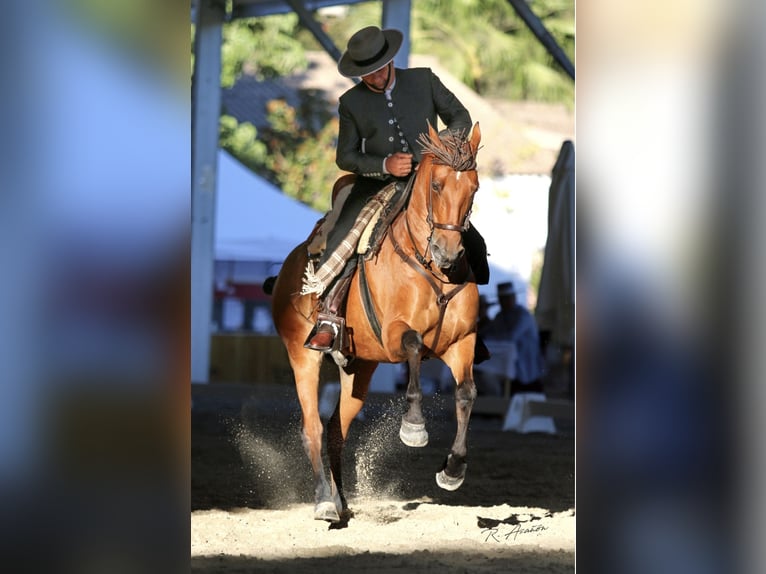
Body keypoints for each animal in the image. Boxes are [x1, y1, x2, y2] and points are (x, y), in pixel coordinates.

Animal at [270, 124, 484, 524]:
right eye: (437, 185)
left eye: (474, 188)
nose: (448, 252)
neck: (432, 269)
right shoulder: (394, 334)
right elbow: (414, 347)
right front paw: (413, 425)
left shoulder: (462, 342)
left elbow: (466, 394)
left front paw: (453, 470)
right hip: (303, 356)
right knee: (313, 427)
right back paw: (324, 502)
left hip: (360, 368)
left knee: (336, 429)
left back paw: (340, 501)